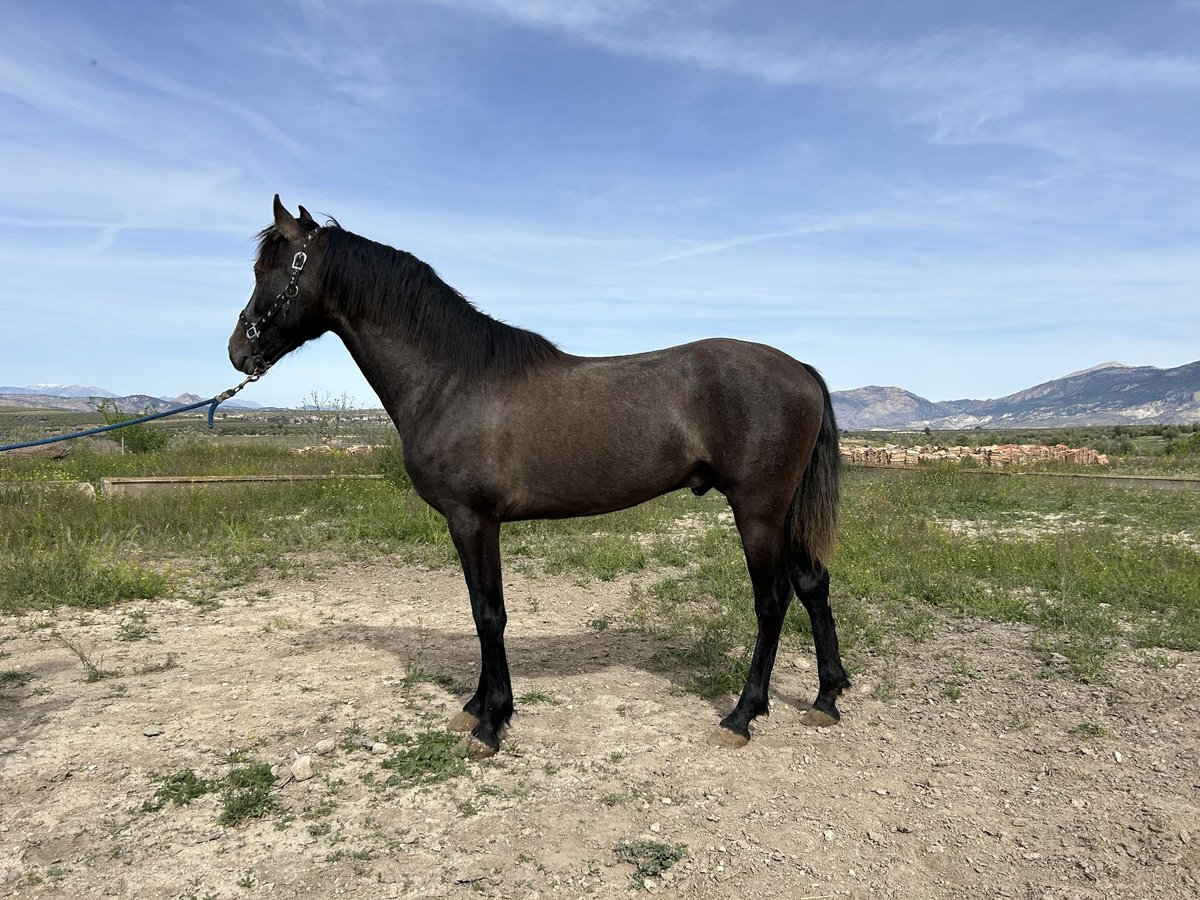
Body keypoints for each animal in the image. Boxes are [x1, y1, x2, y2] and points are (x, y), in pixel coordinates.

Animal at [229, 199, 849, 763]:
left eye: (272, 269)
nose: (238, 350)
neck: (452, 379)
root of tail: (801, 371)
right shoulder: (474, 524)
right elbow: (481, 611)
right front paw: (475, 708)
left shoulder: (473, 520)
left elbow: (488, 615)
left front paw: (492, 723)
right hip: (784, 511)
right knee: (813, 584)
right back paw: (826, 698)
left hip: (758, 509)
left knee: (772, 601)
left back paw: (743, 715)